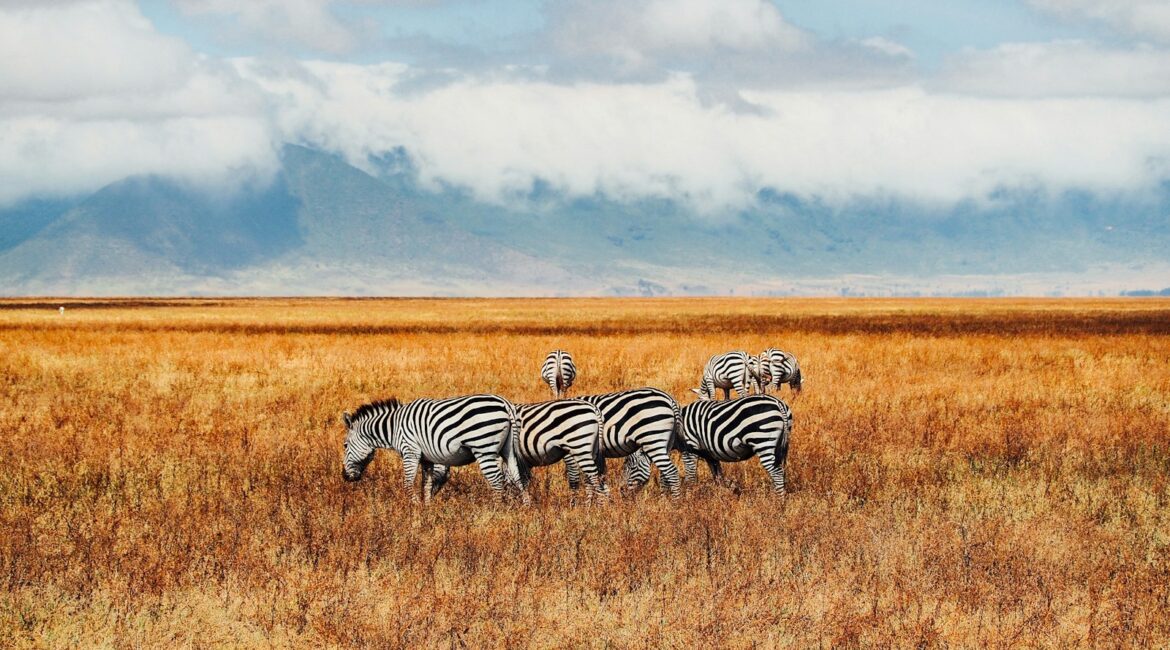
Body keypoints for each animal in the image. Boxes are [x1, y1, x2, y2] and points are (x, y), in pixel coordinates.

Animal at [341, 394, 522, 503]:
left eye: (345, 445)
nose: (344, 477)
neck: (394, 427)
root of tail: (505, 403)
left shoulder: (410, 452)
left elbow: (408, 484)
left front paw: (414, 507)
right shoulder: (426, 459)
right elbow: (426, 485)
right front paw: (426, 509)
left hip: (484, 449)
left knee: (497, 482)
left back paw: (495, 511)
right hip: (508, 449)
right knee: (516, 476)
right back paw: (523, 509)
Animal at [623, 394, 793, 495]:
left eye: (631, 467)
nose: (622, 492)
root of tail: (778, 403)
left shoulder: (690, 450)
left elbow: (691, 476)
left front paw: (690, 496)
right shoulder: (710, 455)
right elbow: (718, 476)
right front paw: (722, 497)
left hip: (763, 440)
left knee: (776, 472)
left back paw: (779, 501)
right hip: (780, 446)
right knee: (781, 470)